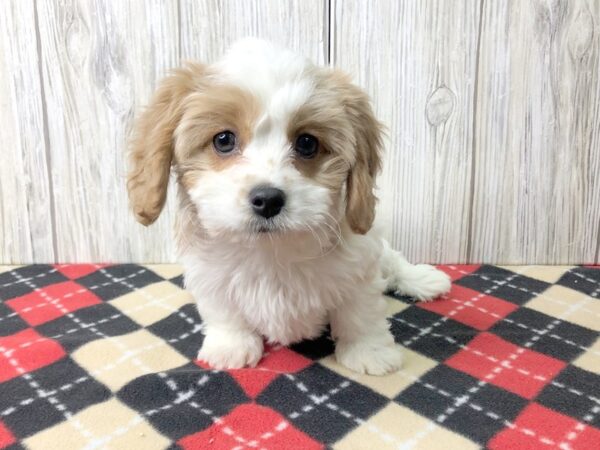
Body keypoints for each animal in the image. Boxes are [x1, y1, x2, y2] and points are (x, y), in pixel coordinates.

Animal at [127, 39, 450, 376]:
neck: (271, 250)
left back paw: (423, 279)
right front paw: (230, 346)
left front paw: (370, 351)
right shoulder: (210, 277)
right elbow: (224, 312)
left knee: (393, 260)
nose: (268, 199)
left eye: (307, 143)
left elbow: (361, 313)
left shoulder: (360, 268)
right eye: (223, 140)